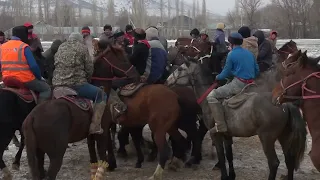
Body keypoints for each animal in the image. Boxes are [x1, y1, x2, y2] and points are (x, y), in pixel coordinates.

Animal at [21, 43, 139, 180]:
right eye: (124, 60)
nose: (136, 75)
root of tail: (32, 117)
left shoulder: (90, 135)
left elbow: (93, 159)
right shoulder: (102, 132)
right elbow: (102, 155)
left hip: (39, 153)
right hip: (56, 154)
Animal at [165, 59, 308, 180]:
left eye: (180, 69)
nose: (166, 81)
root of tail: (283, 103)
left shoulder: (216, 135)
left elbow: (221, 156)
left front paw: (224, 176)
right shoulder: (227, 135)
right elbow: (229, 155)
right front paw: (231, 176)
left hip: (267, 138)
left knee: (273, 163)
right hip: (284, 137)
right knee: (289, 161)